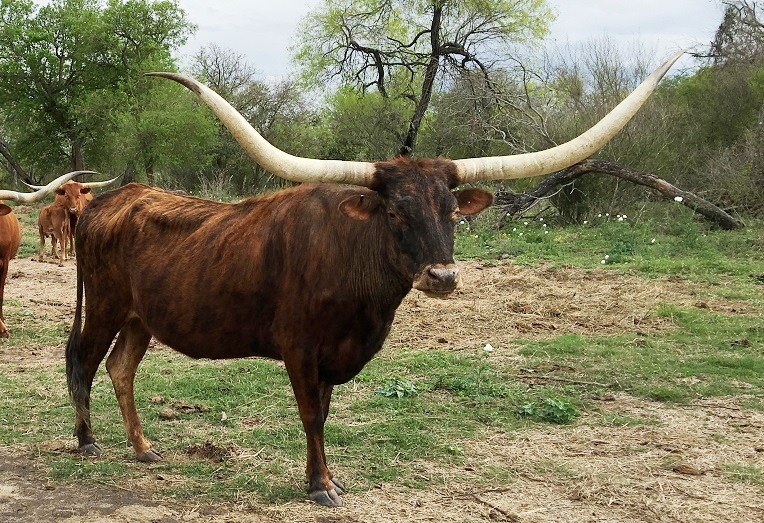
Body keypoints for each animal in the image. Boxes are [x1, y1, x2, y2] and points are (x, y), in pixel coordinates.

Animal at [66, 51, 683, 507]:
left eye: (450, 211)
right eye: (394, 213)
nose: (442, 275)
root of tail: (105, 200)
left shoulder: (335, 357)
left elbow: (324, 414)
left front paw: (326, 478)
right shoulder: (299, 348)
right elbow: (310, 416)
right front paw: (320, 488)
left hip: (141, 317)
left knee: (120, 368)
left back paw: (144, 449)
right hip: (103, 305)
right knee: (82, 361)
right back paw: (88, 442)